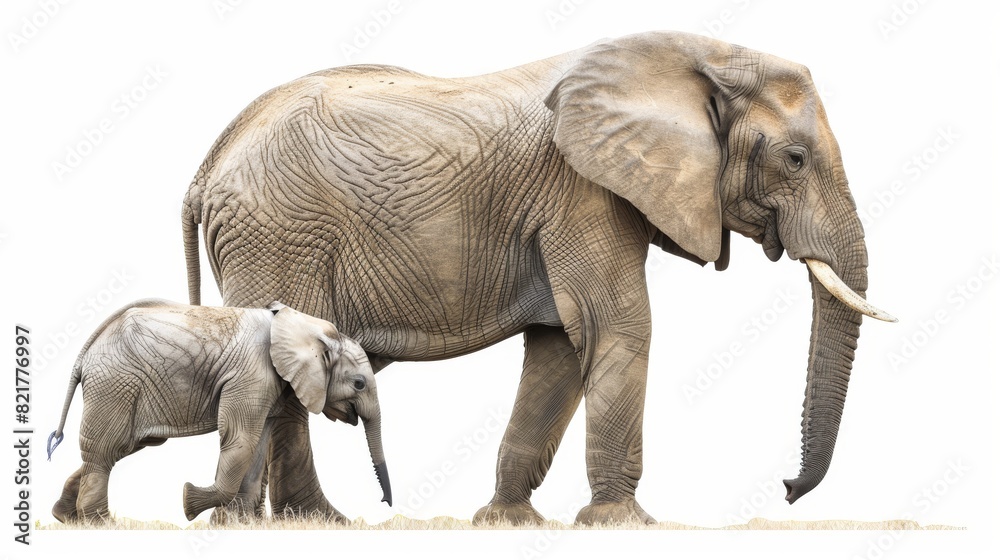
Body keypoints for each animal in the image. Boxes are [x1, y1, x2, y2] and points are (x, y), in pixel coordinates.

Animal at [46, 299, 391, 523]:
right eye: (359, 383)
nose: (385, 502)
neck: (306, 325)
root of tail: (85, 354)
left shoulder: (269, 384)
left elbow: (258, 445)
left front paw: (242, 525)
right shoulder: (252, 373)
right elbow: (241, 440)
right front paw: (188, 501)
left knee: (118, 447)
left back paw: (66, 517)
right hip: (115, 382)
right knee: (106, 449)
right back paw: (100, 524)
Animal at [182, 30, 894, 524]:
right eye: (795, 159)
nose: (787, 489)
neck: (701, 56)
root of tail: (205, 168)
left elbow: (558, 348)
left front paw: (506, 523)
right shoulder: (584, 192)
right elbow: (620, 325)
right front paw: (622, 525)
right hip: (276, 237)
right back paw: (312, 523)